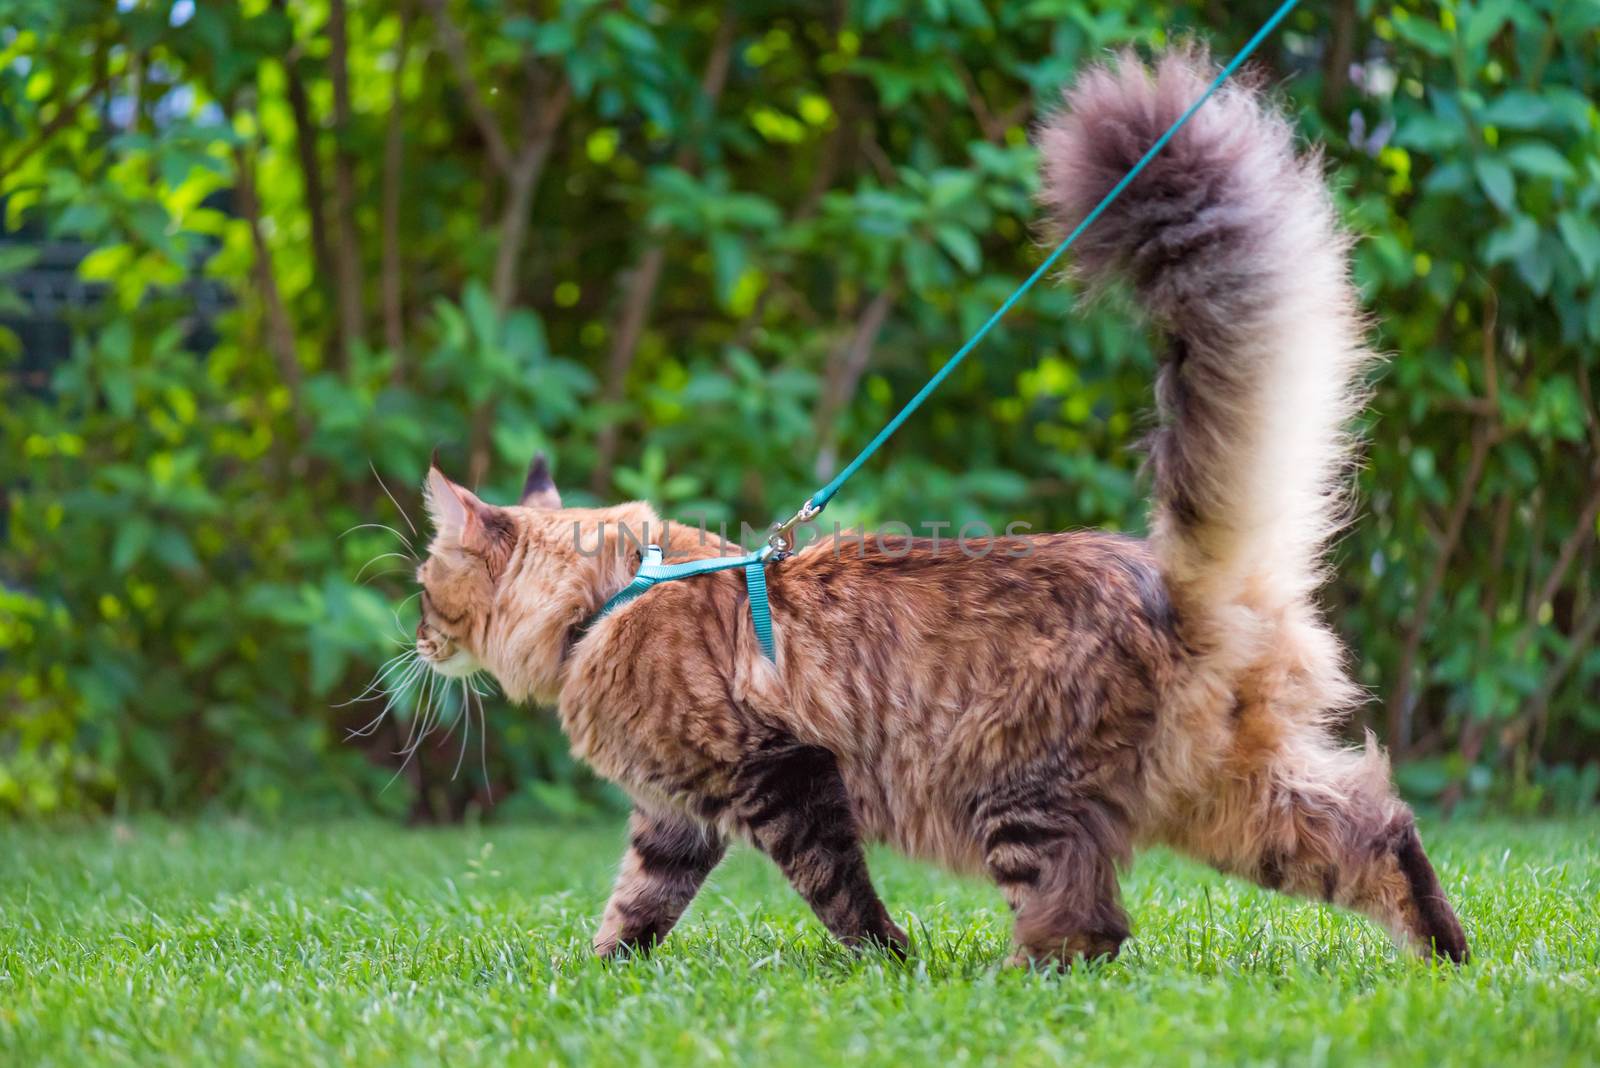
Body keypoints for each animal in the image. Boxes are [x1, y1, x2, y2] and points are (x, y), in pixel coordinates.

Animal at [416, 47, 1472, 965]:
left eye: (423, 590)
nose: (417, 640)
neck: (613, 597)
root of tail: (1181, 582)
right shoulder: (676, 814)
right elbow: (636, 905)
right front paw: (598, 974)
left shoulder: (782, 776)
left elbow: (840, 895)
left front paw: (891, 962)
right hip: (1232, 800)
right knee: (1375, 831)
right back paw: (1445, 954)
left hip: (1024, 798)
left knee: (1088, 923)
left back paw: (1012, 984)